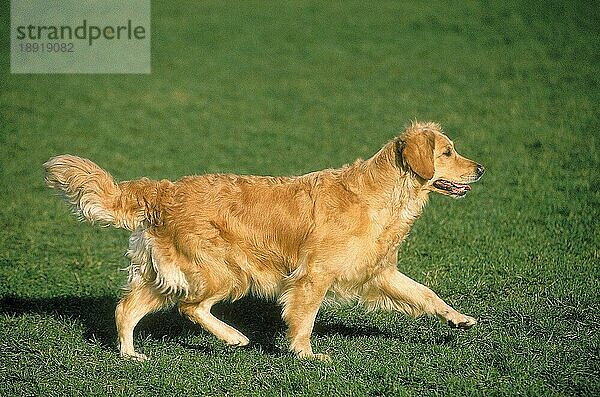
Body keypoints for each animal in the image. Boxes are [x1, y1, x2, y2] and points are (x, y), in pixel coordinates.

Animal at [43, 120, 482, 358]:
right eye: (447, 152)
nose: (480, 169)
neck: (382, 194)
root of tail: (165, 190)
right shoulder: (313, 276)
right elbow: (304, 318)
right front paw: (306, 356)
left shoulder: (379, 272)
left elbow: (425, 293)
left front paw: (458, 318)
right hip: (224, 272)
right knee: (190, 306)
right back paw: (235, 337)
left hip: (165, 275)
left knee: (126, 309)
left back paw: (132, 355)